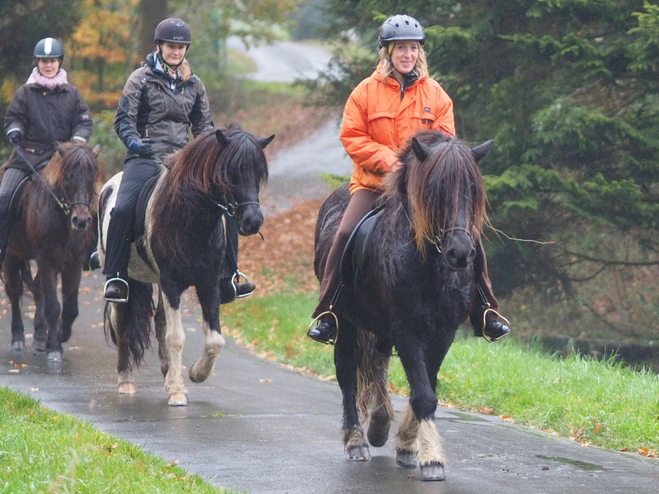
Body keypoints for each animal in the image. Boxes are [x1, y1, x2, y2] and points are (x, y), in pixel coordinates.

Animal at [1, 141, 100, 360]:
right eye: (68, 177)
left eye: (92, 178)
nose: (81, 221)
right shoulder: (47, 260)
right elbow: (54, 306)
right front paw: (54, 347)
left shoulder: (74, 263)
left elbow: (70, 308)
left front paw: (59, 336)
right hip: (12, 255)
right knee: (14, 293)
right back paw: (18, 339)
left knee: (38, 291)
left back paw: (39, 336)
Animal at [97, 125, 270, 408]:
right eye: (231, 172)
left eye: (259, 173)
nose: (252, 221)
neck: (191, 219)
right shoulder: (171, 282)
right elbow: (176, 337)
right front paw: (178, 392)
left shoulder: (208, 283)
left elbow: (214, 340)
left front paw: (195, 374)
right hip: (125, 278)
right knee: (121, 322)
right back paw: (126, 381)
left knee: (159, 321)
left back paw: (168, 375)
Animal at [316, 129, 496, 480]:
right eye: (436, 190)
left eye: (472, 189)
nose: (461, 253)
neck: (430, 267)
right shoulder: (406, 331)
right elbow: (424, 394)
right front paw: (432, 459)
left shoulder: (443, 333)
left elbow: (425, 387)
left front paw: (408, 445)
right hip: (346, 322)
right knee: (347, 372)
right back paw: (357, 441)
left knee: (377, 362)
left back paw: (380, 424)